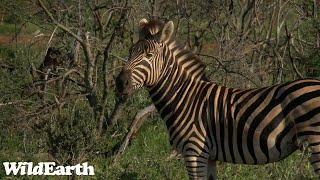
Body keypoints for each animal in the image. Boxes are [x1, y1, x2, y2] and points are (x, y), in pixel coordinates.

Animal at [116, 19, 320, 179]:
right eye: (130, 51)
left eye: (149, 55)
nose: (120, 83)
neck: (184, 98)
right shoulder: (210, 156)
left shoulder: (194, 151)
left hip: (315, 143)